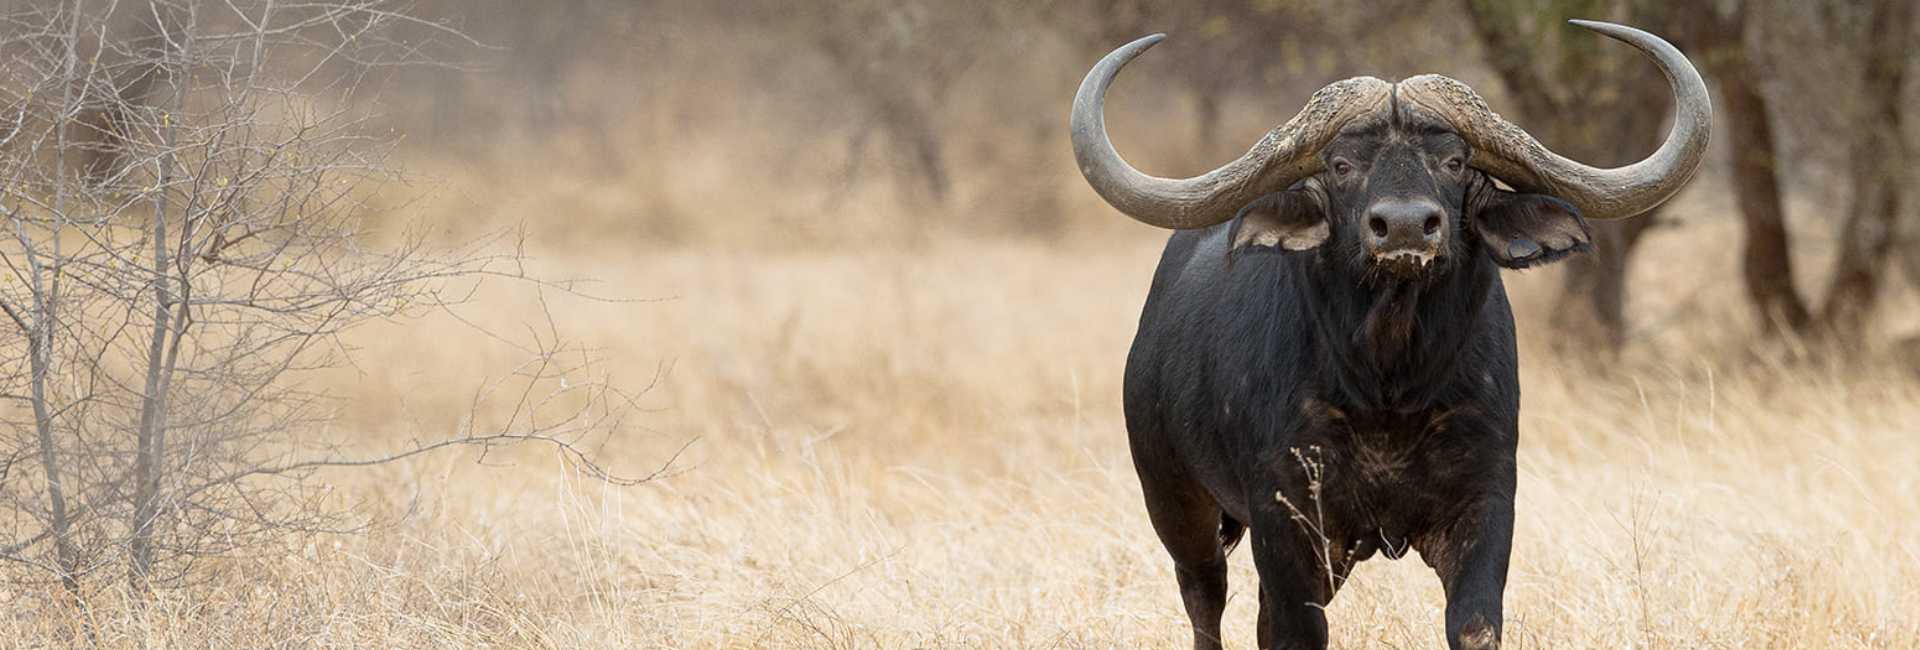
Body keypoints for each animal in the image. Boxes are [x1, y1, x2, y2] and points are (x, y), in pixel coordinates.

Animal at [1069, 20, 1709, 650]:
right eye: (1341, 166)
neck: (1389, 386)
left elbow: (1474, 624)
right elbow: (1297, 630)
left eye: (1454, 162)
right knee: (1205, 598)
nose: (1404, 227)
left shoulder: (1486, 500)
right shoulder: (1285, 515)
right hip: (1176, 504)